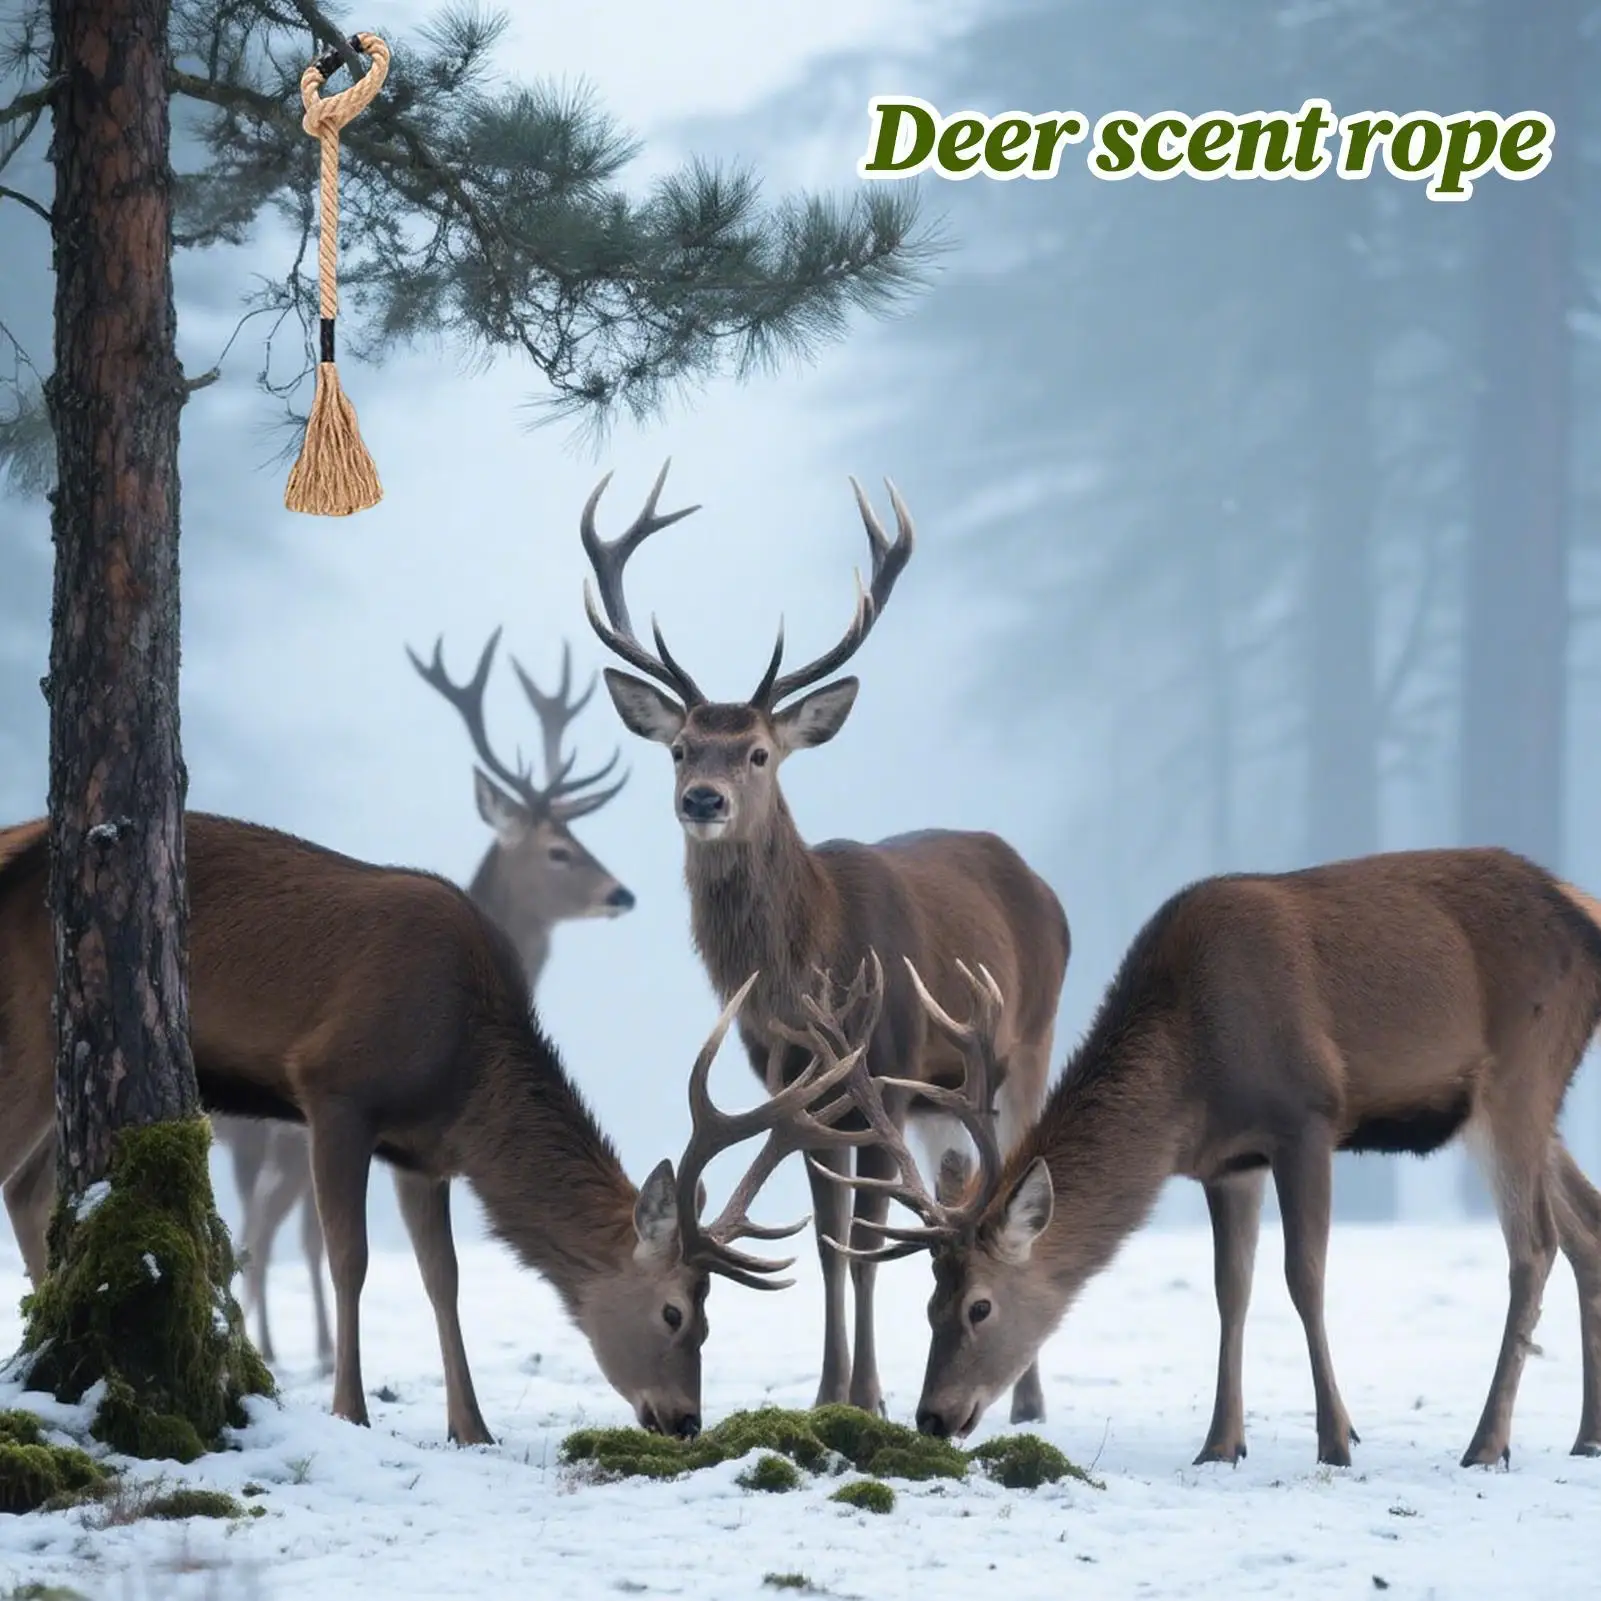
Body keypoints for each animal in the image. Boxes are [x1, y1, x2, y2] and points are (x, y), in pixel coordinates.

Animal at [0, 811, 885, 1444]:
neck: (463, 1069)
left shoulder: (422, 1152)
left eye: (709, 1308)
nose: (685, 1419)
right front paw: (349, 1410)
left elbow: (443, 1276)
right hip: (33, 1027)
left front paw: (472, 1426)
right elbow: (351, 1257)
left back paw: (49, 1347)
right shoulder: (334, 1090)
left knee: (30, 1185)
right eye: (675, 1310)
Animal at [577, 459, 1072, 1422]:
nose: (702, 799)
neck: (806, 968)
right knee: (959, 1180)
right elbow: (830, 1245)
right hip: (940, 1102)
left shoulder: (880, 1074)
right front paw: (826, 1393)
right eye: (680, 747)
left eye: (759, 752)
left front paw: (868, 1397)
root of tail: (1035, 878)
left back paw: (1029, 1400)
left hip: (1024, 1041)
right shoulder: (796, 1096)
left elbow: (865, 1242)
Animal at [814, 850, 1601, 1471]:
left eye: (980, 1305)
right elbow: (1231, 1288)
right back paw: (1585, 1436)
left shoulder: (1306, 1117)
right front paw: (1221, 1443)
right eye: (929, 1302)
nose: (932, 1415)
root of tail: (1583, 913)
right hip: (1522, 1104)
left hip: (1520, 1074)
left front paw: (1336, 1438)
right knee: (1586, 1227)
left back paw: (1486, 1443)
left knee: (1533, 1245)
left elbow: (1303, 1278)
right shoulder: (1230, 1160)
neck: (1193, 1065)